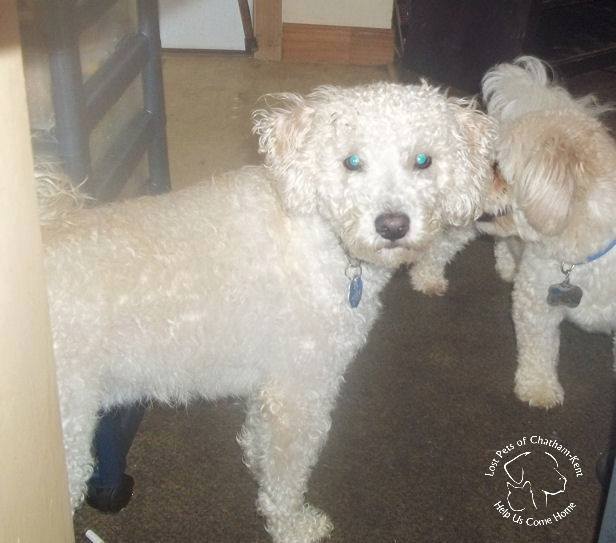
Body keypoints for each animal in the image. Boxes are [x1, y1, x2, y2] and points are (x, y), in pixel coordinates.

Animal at [43, 82, 494, 542]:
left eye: (423, 160)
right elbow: (288, 473)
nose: (392, 225)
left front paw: (259, 470)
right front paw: (291, 524)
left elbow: (262, 445)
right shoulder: (299, 391)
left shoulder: (271, 386)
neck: (321, 235)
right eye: (351, 161)